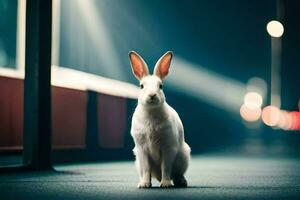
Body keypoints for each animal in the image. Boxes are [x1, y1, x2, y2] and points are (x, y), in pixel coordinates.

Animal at [128, 50, 190, 188]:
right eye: (141, 86)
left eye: (160, 86)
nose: (152, 95)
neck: (151, 112)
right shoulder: (142, 149)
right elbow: (146, 169)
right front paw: (144, 184)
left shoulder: (168, 147)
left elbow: (165, 167)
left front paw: (165, 184)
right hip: (137, 161)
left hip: (183, 157)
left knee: (177, 174)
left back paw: (181, 182)